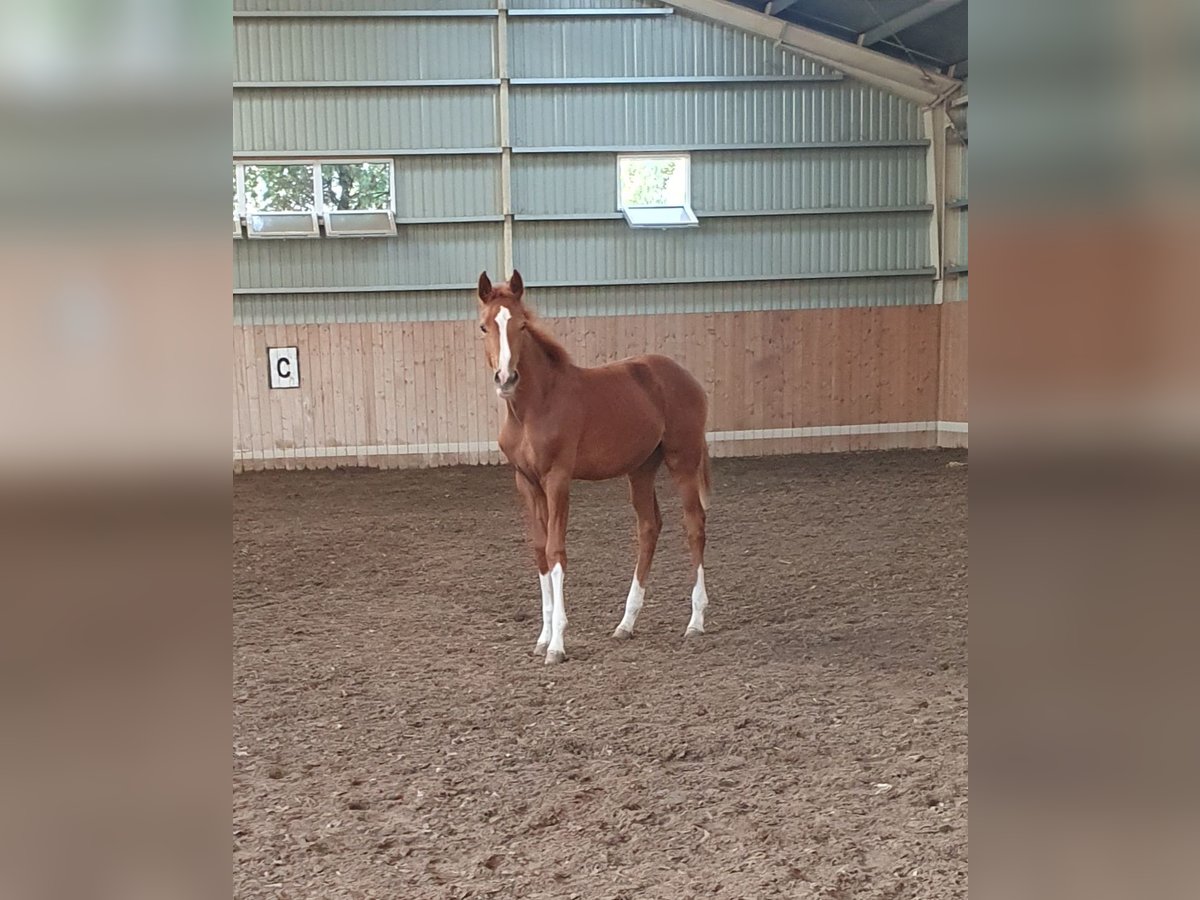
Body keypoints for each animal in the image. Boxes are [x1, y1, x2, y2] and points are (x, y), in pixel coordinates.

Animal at [472, 271, 705, 667]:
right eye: (485, 326)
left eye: (522, 325)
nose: (506, 378)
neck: (534, 407)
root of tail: (688, 378)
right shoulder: (526, 481)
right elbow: (539, 550)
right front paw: (542, 637)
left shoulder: (557, 479)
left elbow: (556, 550)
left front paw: (557, 645)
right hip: (641, 468)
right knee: (649, 528)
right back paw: (626, 624)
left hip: (683, 462)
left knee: (695, 526)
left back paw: (696, 621)